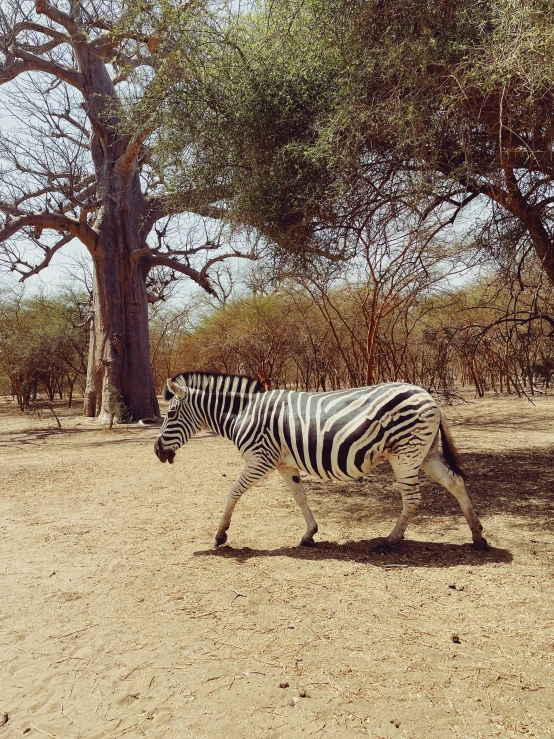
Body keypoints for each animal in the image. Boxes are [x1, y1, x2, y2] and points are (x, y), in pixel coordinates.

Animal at [153, 372, 486, 552]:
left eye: (171, 414)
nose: (156, 451)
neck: (243, 414)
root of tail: (428, 395)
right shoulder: (284, 464)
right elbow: (300, 497)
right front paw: (310, 533)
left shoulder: (260, 459)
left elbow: (233, 492)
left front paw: (220, 535)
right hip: (424, 453)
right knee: (455, 482)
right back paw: (477, 535)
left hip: (405, 454)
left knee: (413, 498)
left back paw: (390, 540)